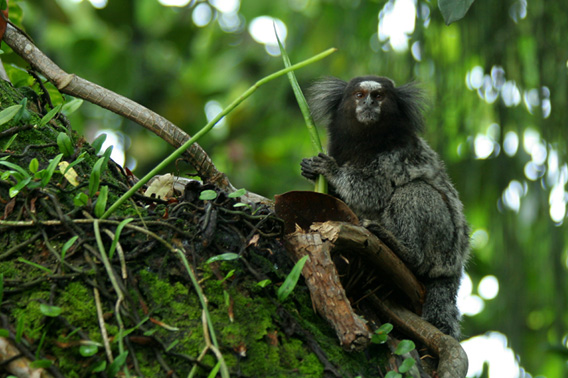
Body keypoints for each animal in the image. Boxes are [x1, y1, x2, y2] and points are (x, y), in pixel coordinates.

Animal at [302, 75, 470, 338]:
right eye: (359, 95)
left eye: (379, 96)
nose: (369, 103)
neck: (365, 141)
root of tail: (455, 266)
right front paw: (311, 172)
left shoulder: (397, 155)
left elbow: (376, 191)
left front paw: (331, 170)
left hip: (444, 245)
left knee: (414, 191)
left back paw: (403, 249)